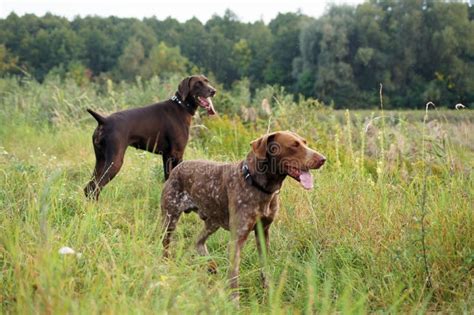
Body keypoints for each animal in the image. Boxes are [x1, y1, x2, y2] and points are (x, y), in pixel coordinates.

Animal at [84, 74, 217, 200]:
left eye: (207, 81)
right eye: (198, 83)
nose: (213, 91)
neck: (181, 106)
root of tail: (104, 120)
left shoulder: (167, 156)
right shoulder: (177, 155)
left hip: (101, 160)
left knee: (89, 188)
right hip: (115, 161)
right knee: (96, 187)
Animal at [160, 130, 326, 302]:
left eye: (304, 142)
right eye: (294, 145)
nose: (323, 159)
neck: (258, 185)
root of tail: (176, 169)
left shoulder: (263, 233)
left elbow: (265, 269)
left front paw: (268, 295)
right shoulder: (237, 238)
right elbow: (234, 277)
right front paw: (234, 302)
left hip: (212, 222)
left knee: (197, 241)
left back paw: (211, 266)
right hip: (170, 220)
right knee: (166, 244)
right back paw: (166, 265)